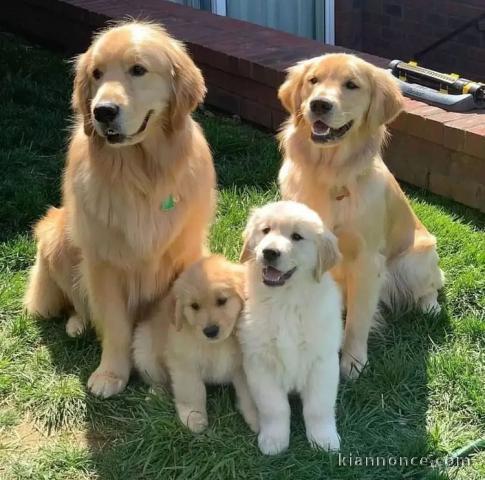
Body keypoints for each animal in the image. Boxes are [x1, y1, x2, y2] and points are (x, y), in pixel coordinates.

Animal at [23, 22, 216, 398]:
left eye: (138, 70)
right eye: (96, 74)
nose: (102, 111)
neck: (141, 174)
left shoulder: (180, 261)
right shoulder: (103, 263)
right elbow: (113, 325)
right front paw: (111, 374)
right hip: (55, 236)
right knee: (77, 303)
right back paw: (76, 324)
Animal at [132, 255, 260, 436]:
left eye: (222, 301)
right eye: (194, 306)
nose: (210, 331)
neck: (217, 345)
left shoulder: (243, 366)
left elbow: (249, 394)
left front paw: (257, 417)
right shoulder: (185, 365)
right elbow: (193, 392)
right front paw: (194, 417)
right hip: (143, 349)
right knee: (158, 379)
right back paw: (156, 394)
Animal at [240, 202, 342, 454]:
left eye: (297, 237)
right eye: (265, 230)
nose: (269, 252)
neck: (285, 302)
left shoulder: (322, 362)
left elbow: (319, 407)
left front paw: (324, 439)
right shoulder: (259, 363)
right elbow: (274, 408)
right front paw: (274, 440)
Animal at [278, 53, 444, 378]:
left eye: (351, 85)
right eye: (313, 80)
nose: (319, 104)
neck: (329, 173)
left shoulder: (367, 261)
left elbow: (358, 319)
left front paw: (353, 361)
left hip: (416, 259)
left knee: (432, 284)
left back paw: (430, 306)